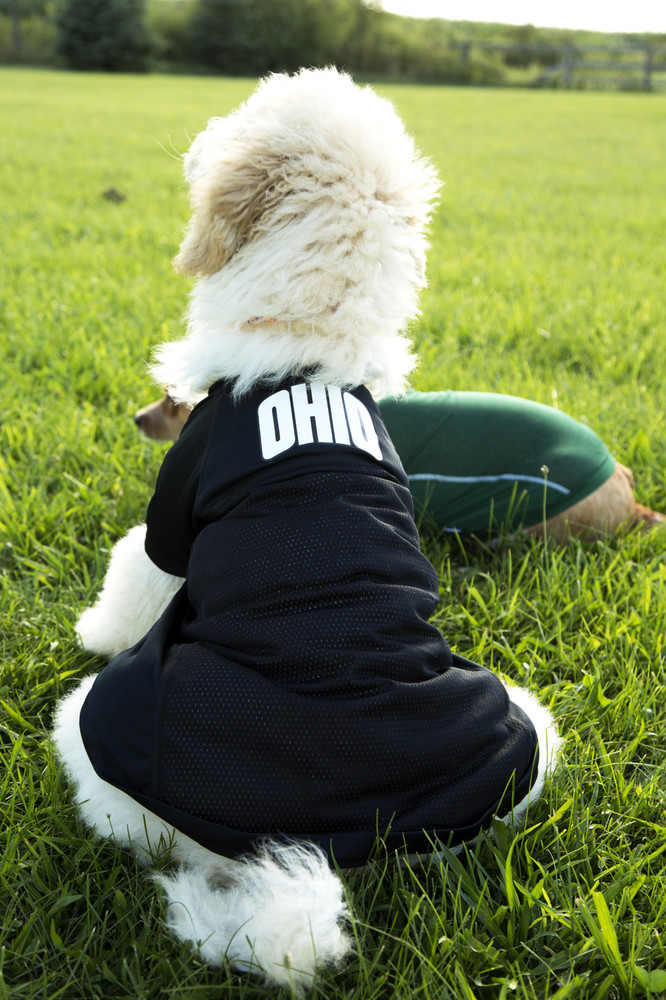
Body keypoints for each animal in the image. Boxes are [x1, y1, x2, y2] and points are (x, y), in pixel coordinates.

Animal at [53, 70, 560, 992]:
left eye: (240, 122)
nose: (194, 140)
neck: (311, 337)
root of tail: (313, 852)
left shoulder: (171, 516)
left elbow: (131, 576)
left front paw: (93, 629)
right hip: (524, 733)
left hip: (97, 724)